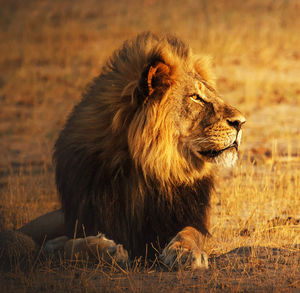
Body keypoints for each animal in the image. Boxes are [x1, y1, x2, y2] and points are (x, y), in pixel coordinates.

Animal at [16, 32, 245, 270]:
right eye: (195, 97)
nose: (241, 122)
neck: (148, 170)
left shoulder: (191, 218)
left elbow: (191, 232)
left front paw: (185, 252)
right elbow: (64, 244)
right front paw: (105, 249)